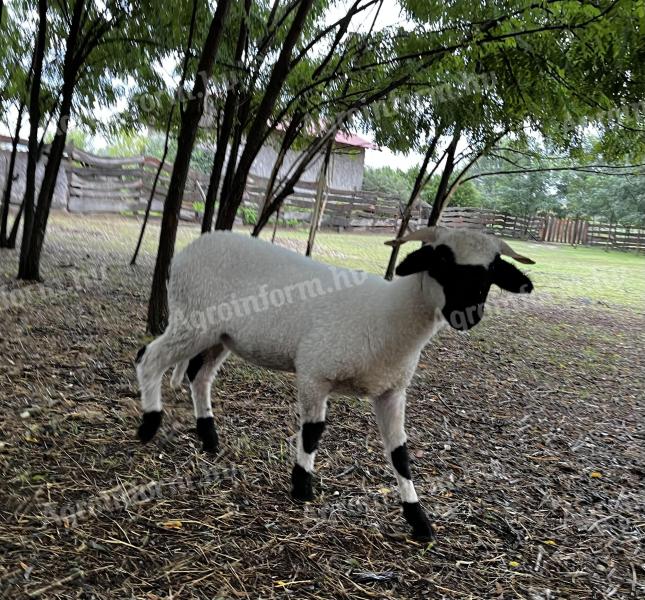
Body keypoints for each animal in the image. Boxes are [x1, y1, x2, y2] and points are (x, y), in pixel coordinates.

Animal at [135, 227, 532, 540]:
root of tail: (195, 244)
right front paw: (302, 487)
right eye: (442, 263)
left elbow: (400, 455)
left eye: (491, 272)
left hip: (221, 336)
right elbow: (313, 433)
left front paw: (419, 520)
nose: (469, 315)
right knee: (149, 357)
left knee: (199, 377)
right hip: (192, 319)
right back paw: (149, 424)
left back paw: (209, 437)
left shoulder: (392, 392)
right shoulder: (315, 372)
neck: (388, 317)